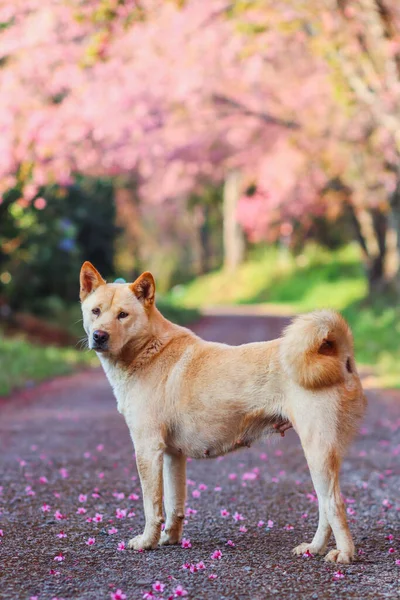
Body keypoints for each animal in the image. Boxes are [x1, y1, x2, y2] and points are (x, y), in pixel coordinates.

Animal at [79, 262, 368, 564]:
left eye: (123, 315)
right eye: (95, 311)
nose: (99, 336)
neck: (149, 350)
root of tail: (340, 356)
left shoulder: (147, 449)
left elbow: (152, 505)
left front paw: (147, 541)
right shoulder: (171, 454)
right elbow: (174, 503)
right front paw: (170, 538)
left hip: (318, 451)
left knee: (334, 504)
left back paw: (345, 553)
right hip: (320, 456)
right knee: (324, 506)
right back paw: (314, 548)